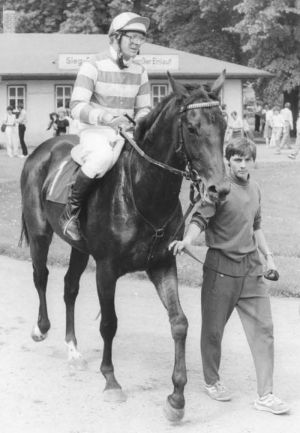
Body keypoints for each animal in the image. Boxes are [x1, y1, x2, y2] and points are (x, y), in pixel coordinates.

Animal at [19, 72, 229, 420]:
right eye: (192, 127)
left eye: (224, 125)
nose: (220, 189)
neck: (143, 193)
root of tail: (43, 150)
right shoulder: (106, 269)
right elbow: (109, 323)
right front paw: (111, 381)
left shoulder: (162, 263)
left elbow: (180, 323)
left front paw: (177, 397)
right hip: (39, 232)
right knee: (40, 276)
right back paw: (40, 328)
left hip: (79, 248)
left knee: (69, 287)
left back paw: (73, 349)